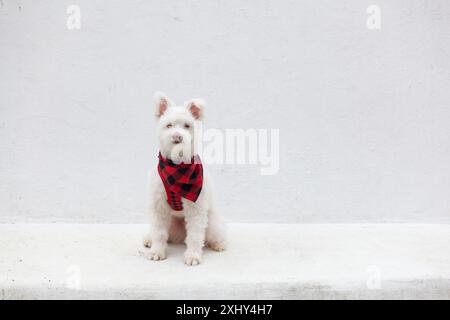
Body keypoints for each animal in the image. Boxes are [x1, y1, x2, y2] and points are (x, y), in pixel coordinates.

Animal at [144, 92, 227, 264]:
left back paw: (218, 244)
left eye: (187, 126)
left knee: (215, 234)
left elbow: (195, 235)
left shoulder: (196, 208)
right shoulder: (158, 207)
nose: (177, 136)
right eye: (169, 125)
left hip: (212, 222)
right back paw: (148, 239)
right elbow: (159, 233)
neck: (177, 168)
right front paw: (156, 251)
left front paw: (193, 255)